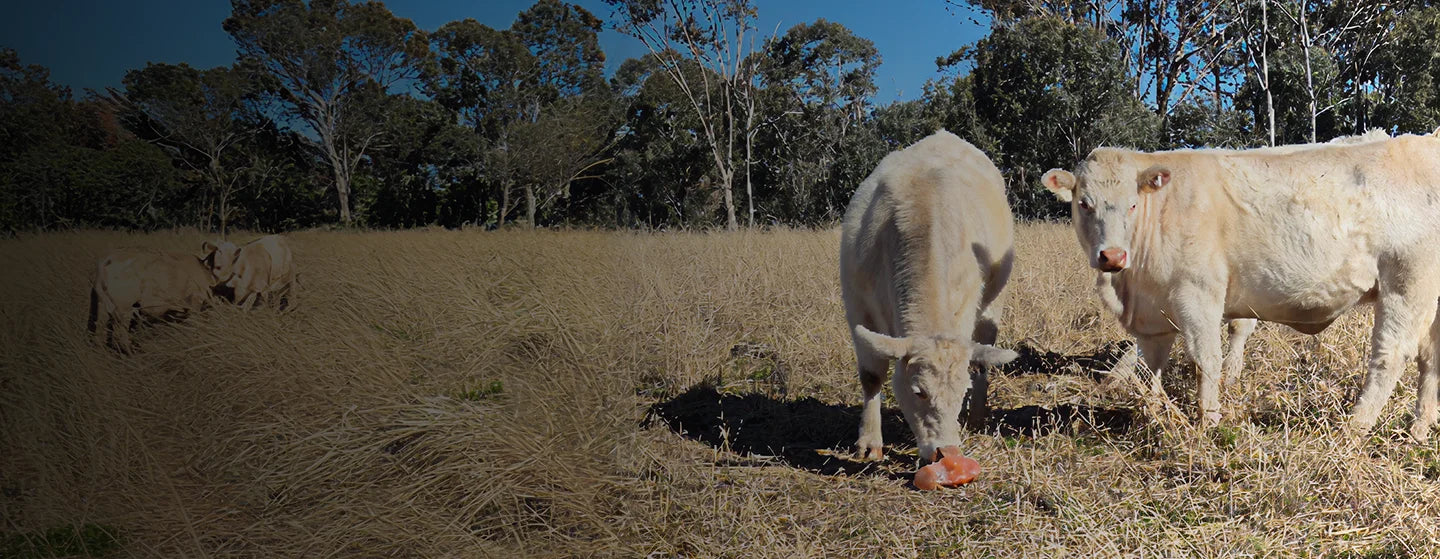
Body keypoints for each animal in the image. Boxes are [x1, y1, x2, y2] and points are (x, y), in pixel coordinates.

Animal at [840, 130, 1019, 463]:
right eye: (918, 391)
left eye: (961, 392)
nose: (946, 452)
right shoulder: (857, 304)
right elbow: (871, 376)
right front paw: (869, 441)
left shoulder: (965, 305)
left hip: (993, 304)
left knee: (983, 360)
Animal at [1041, 131, 1440, 439]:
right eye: (1084, 203)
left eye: (1132, 204)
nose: (1112, 255)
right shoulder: (1153, 314)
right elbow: (1151, 365)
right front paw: (1152, 415)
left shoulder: (1198, 292)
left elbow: (1206, 359)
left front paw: (1209, 422)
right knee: (1430, 358)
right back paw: (1419, 430)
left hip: (1408, 282)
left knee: (1391, 355)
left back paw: (1354, 428)